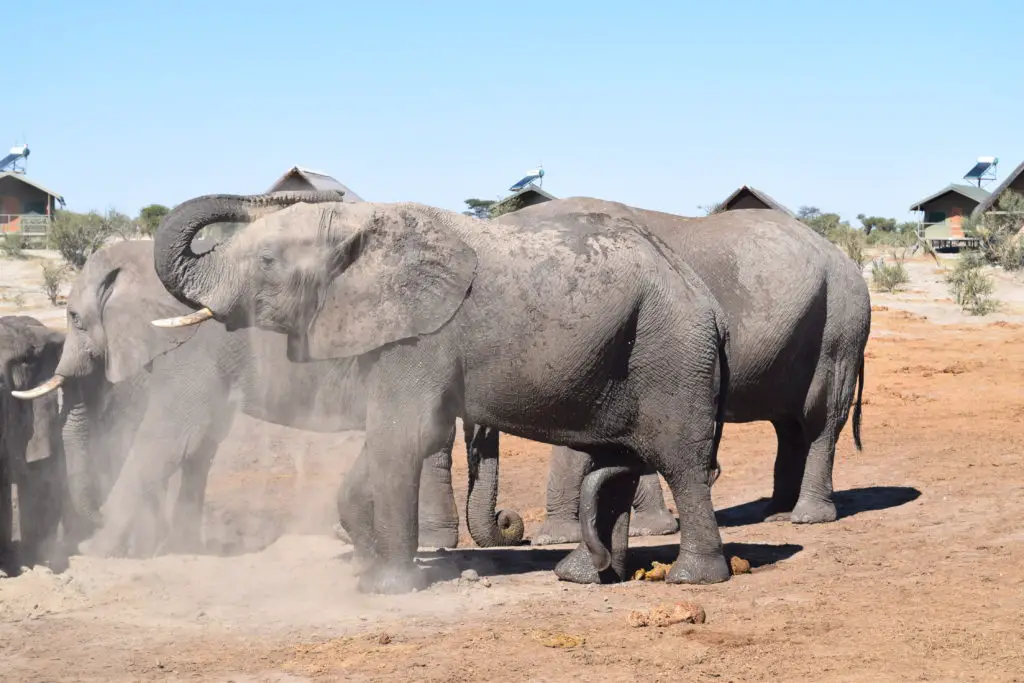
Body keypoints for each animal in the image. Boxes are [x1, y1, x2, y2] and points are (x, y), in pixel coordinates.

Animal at [14, 236, 528, 561]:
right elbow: (200, 444)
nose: (89, 529)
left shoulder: (194, 349)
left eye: (75, 319)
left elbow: (168, 439)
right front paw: (180, 546)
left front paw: (94, 555)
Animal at [148, 191, 733, 593]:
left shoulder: (421, 336)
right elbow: (384, 441)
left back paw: (692, 579)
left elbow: (400, 439)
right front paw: (366, 565)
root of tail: (705, 298)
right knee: (612, 460)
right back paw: (583, 576)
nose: (295, 189)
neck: (365, 233)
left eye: (267, 262)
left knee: (679, 458)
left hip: (672, 348)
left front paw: (383, 588)